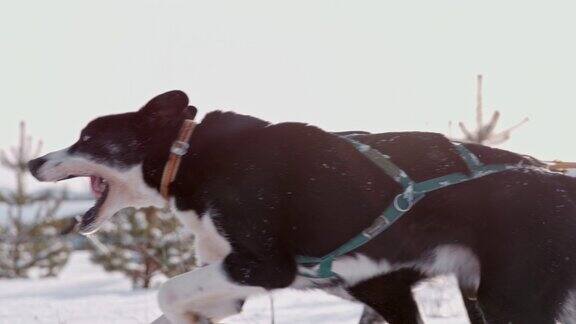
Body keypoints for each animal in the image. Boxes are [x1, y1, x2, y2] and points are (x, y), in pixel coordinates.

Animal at [30, 91, 576, 324]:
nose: (33, 161)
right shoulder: (233, 282)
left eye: (87, 138)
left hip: (511, 301)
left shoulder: (265, 266)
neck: (195, 159)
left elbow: (167, 291)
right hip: (480, 297)